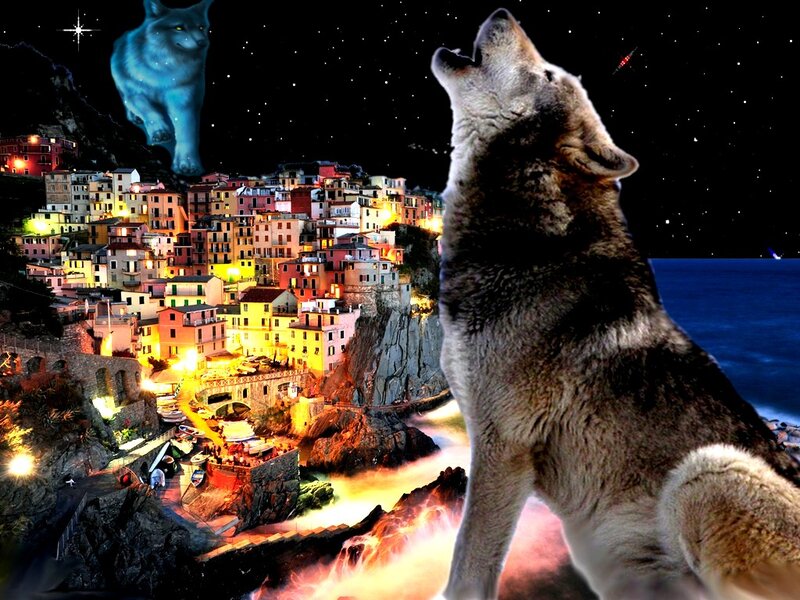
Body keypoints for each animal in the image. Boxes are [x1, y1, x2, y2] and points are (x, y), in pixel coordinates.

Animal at [111, 0, 213, 176]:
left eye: (201, 27)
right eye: (179, 27)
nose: (203, 42)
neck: (164, 70)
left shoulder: (184, 101)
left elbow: (187, 132)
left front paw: (188, 164)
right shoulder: (134, 93)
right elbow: (148, 109)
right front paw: (160, 131)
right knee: (126, 102)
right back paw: (135, 117)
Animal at [432, 9, 800, 600]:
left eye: (549, 74)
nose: (502, 13)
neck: (532, 242)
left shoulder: (502, 446)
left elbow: (468, 566)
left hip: (707, 472)